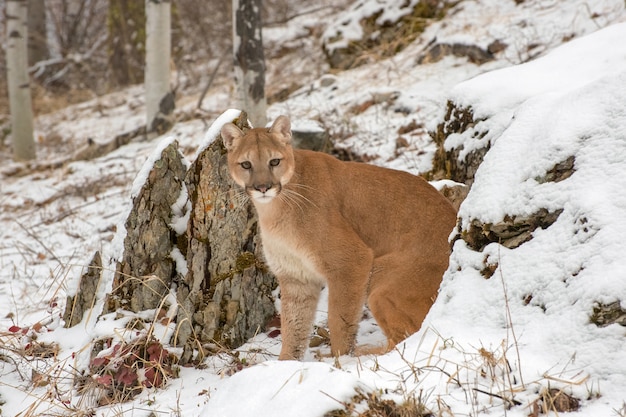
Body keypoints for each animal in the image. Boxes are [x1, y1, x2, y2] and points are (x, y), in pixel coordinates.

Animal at [222, 114, 456, 358]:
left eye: (274, 161)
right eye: (246, 164)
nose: (263, 187)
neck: (274, 209)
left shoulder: (350, 262)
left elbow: (339, 319)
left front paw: (340, 358)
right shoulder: (295, 276)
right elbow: (293, 326)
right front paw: (286, 361)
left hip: (382, 283)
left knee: (409, 337)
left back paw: (364, 353)